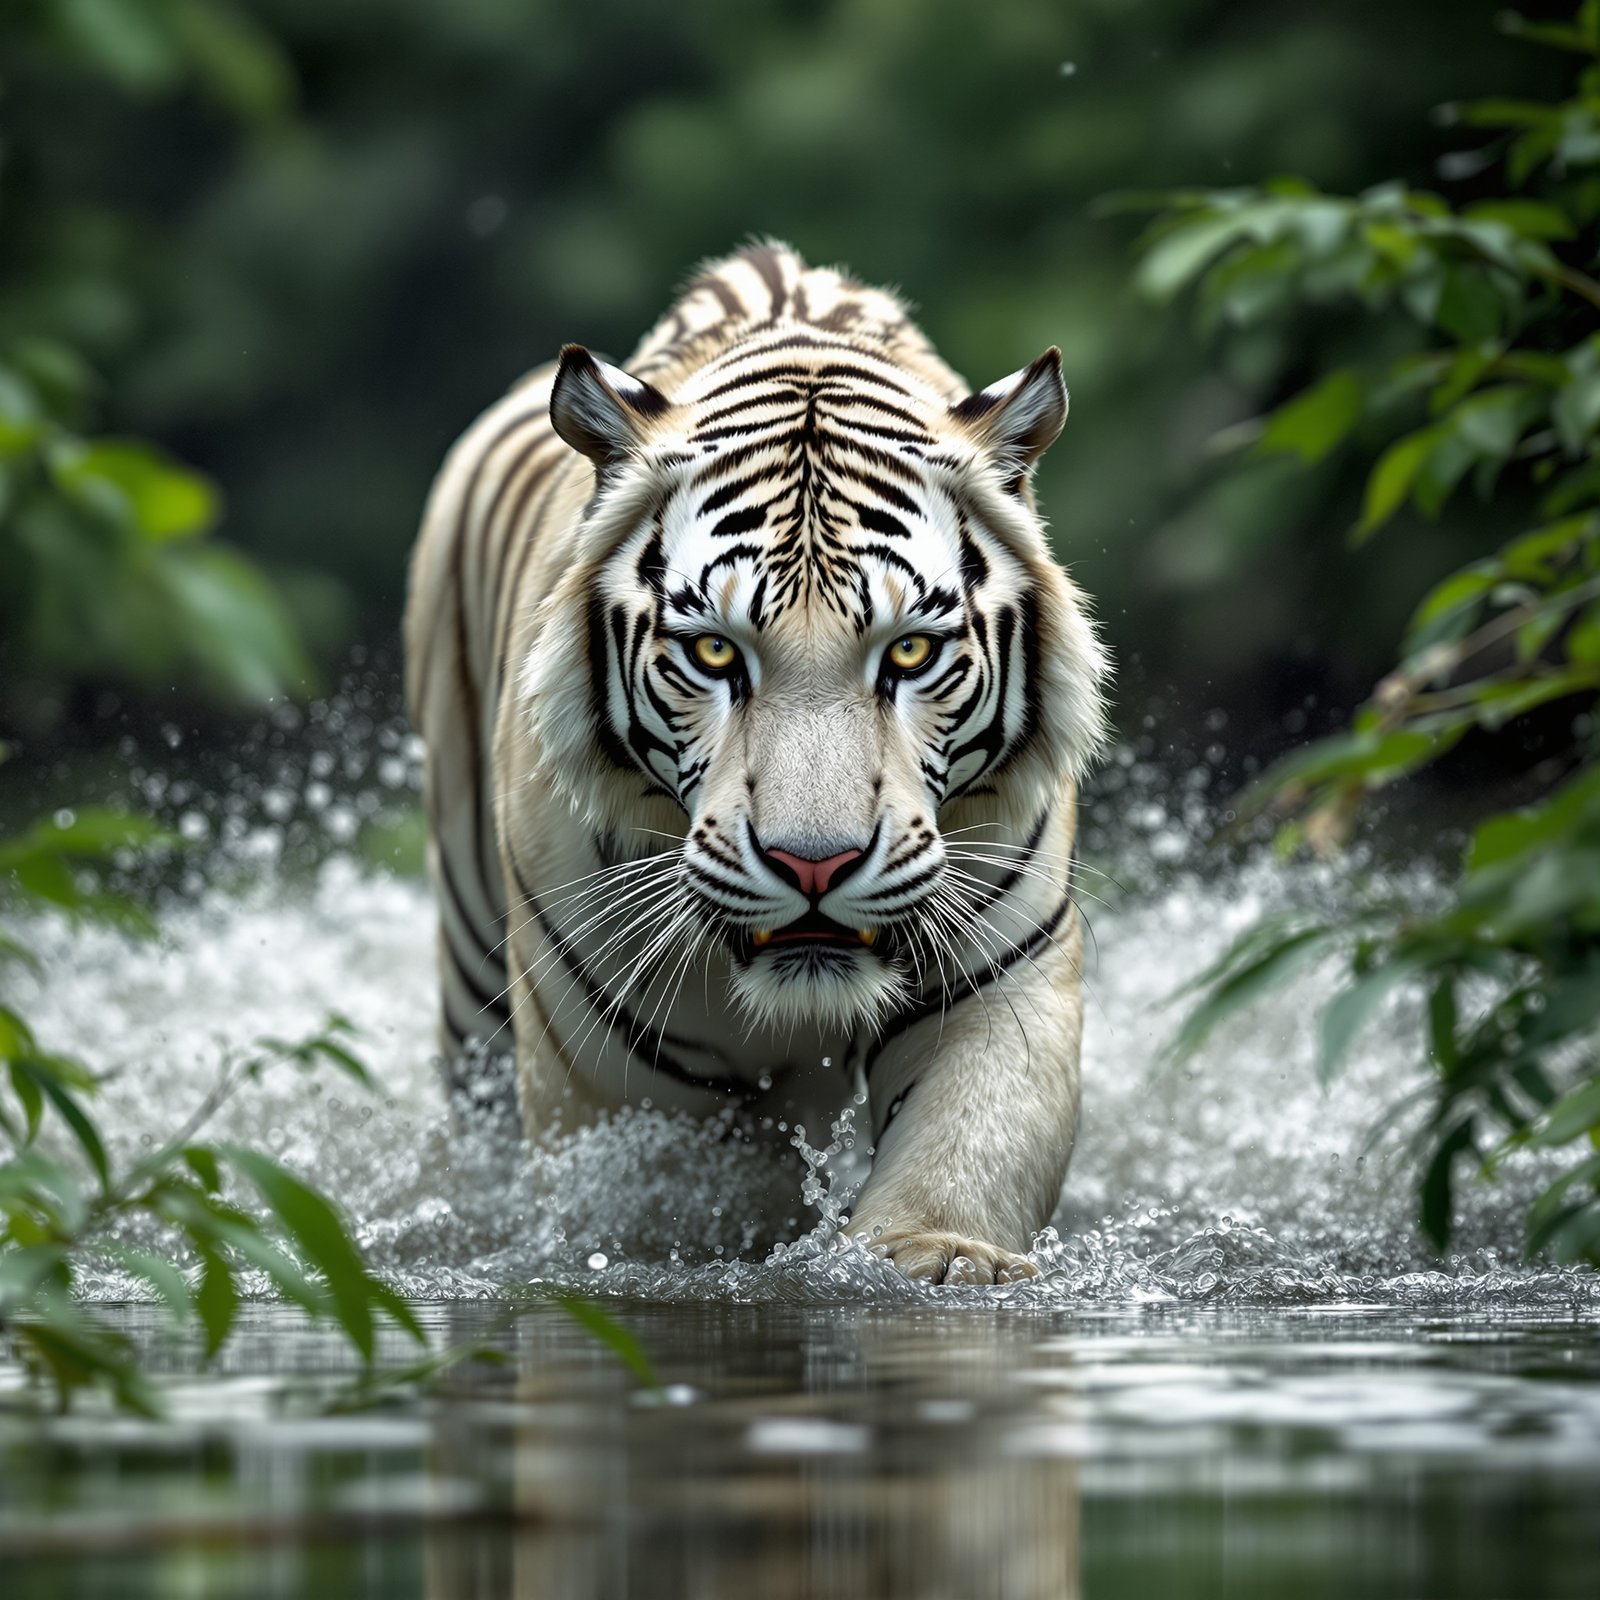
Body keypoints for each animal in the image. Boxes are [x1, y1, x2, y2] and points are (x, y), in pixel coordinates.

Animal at [404, 242, 1108, 1285]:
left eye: (909, 652)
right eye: (713, 653)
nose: (814, 865)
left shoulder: (1001, 981)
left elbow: (965, 1149)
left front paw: (940, 1260)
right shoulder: (616, 1071)